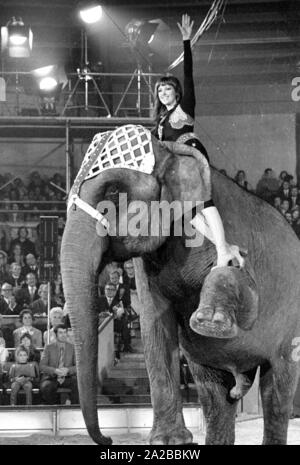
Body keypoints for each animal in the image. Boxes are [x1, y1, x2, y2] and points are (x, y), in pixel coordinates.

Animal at [60, 125, 300, 444]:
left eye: (111, 191)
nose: (109, 440)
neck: (170, 150)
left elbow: (243, 287)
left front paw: (210, 321)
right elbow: (155, 323)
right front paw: (169, 440)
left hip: (290, 327)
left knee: (278, 387)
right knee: (216, 397)